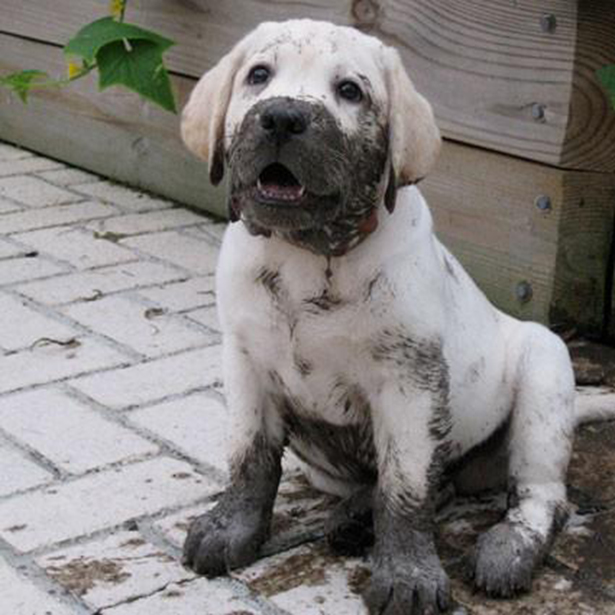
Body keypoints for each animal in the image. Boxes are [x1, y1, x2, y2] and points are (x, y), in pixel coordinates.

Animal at [180, 19, 612, 615]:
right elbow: (250, 458)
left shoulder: (410, 385)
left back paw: (507, 548)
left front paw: (407, 573)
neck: (310, 255)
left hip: (545, 379)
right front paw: (231, 528)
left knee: (539, 495)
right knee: (435, 483)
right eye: (258, 76)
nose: (283, 117)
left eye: (350, 91)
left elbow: (405, 490)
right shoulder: (245, 363)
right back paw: (358, 516)